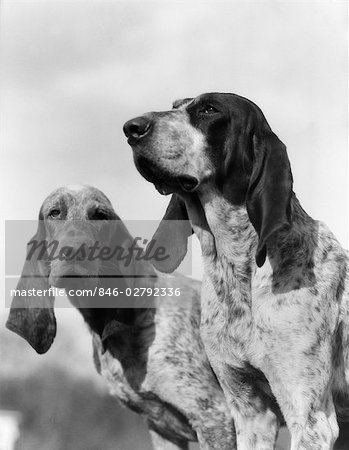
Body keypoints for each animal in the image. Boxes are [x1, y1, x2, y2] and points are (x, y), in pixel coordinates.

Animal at [123, 93, 348, 448]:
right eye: (174, 106)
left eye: (208, 110)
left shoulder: (310, 419)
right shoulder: (249, 412)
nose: (131, 128)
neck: (237, 272)